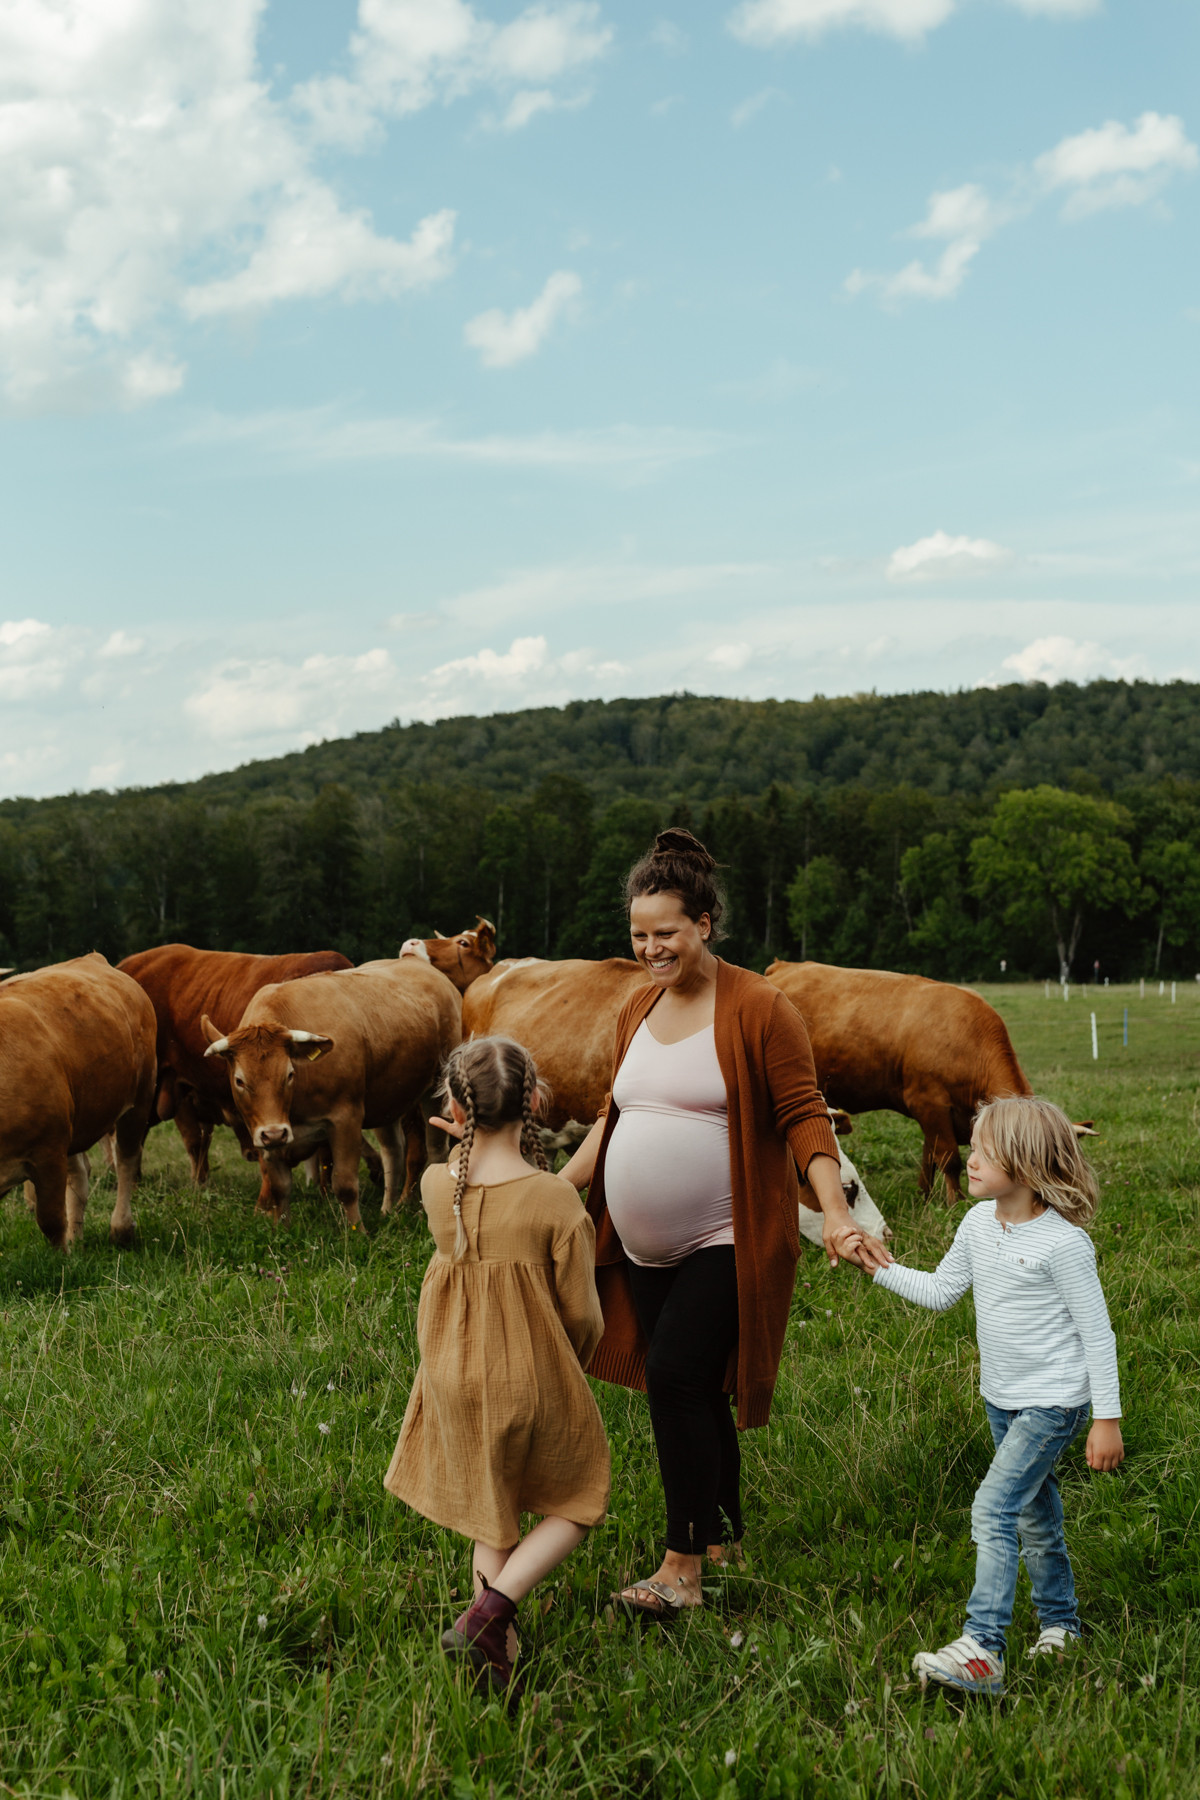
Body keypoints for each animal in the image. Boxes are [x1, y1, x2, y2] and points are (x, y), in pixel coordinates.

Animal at [0, 957, 157, 1252]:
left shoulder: (48, 1152)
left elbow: (50, 1219)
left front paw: (60, 1258)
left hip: (139, 1099)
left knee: (126, 1160)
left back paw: (121, 1229)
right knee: (80, 1176)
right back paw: (77, 1235)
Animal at [199, 957, 464, 1224]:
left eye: (289, 1074)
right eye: (239, 1081)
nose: (274, 1134)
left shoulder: (346, 1119)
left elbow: (345, 1186)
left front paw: (357, 1229)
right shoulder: (265, 1134)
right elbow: (279, 1187)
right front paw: (281, 1228)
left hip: (435, 1089)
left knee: (436, 1149)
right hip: (386, 1099)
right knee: (393, 1152)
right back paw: (388, 1210)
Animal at [770, 964, 1036, 1202]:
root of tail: (783, 967)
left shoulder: (936, 1116)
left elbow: (929, 1158)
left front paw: (924, 1197)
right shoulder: (929, 1104)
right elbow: (949, 1159)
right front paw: (956, 1203)